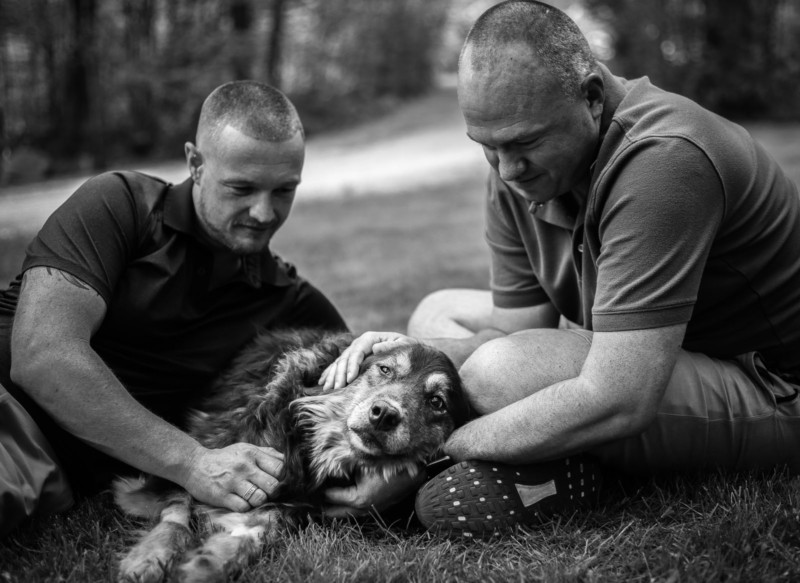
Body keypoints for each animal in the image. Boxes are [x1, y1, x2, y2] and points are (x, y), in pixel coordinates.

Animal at [112, 330, 468, 583]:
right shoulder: (206, 455)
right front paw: (150, 557)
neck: (313, 447)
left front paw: (207, 564)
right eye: (384, 369)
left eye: (437, 402)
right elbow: (177, 509)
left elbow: (256, 532)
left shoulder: (292, 507)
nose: (384, 415)